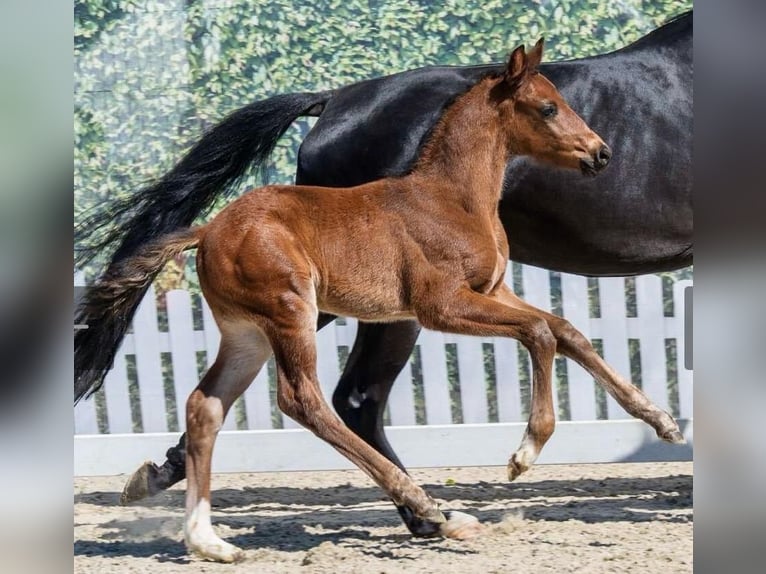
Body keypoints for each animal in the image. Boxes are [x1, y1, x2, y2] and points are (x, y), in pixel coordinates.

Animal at [75, 12, 692, 535]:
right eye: (546, 108)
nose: (601, 153)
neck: (450, 195)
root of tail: (208, 229)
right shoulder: (441, 305)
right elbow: (541, 334)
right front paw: (524, 453)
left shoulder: (492, 290)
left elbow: (566, 331)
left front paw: (661, 421)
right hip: (305, 312)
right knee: (317, 401)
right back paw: (424, 508)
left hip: (256, 329)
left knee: (220, 400)